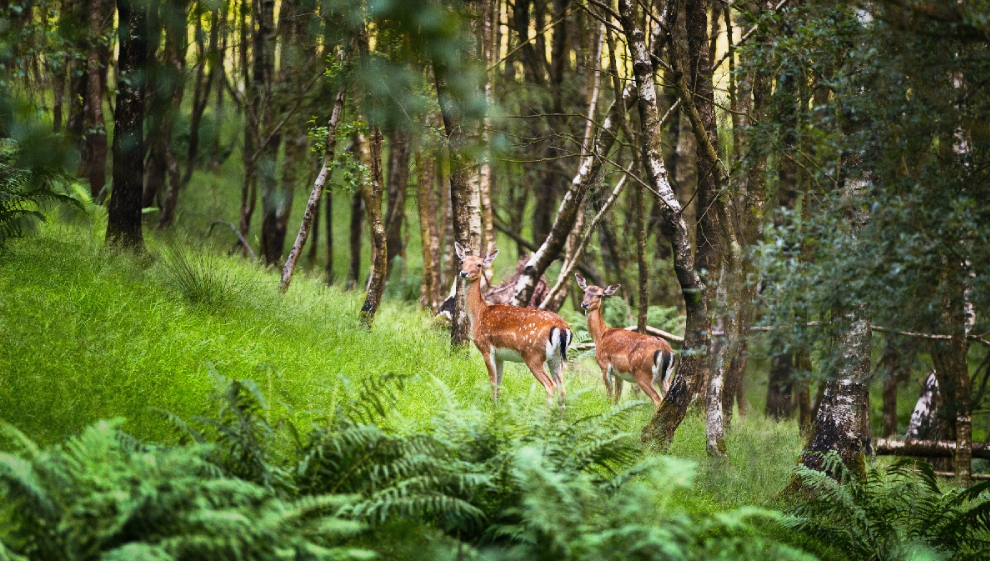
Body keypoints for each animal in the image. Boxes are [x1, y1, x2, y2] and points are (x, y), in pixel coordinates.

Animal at [458, 242, 572, 406]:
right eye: (462, 261)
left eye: (479, 264)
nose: (463, 273)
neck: (478, 313)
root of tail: (562, 328)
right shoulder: (500, 355)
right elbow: (499, 382)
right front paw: (497, 405)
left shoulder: (486, 347)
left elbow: (492, 381)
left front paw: (493, 406)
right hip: (557, 357)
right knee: (562, 388)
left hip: (533, 355)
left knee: (551, 386)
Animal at [576, 274, 680, 404]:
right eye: (584, 291)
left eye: (600, 295)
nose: (585, 304)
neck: (600, 335)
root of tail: (666, 350)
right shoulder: (618, 373)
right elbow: (617, 398)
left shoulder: (604, 364)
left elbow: (609, 394)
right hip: (666, 377)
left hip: (642, 373)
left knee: (657, 399)